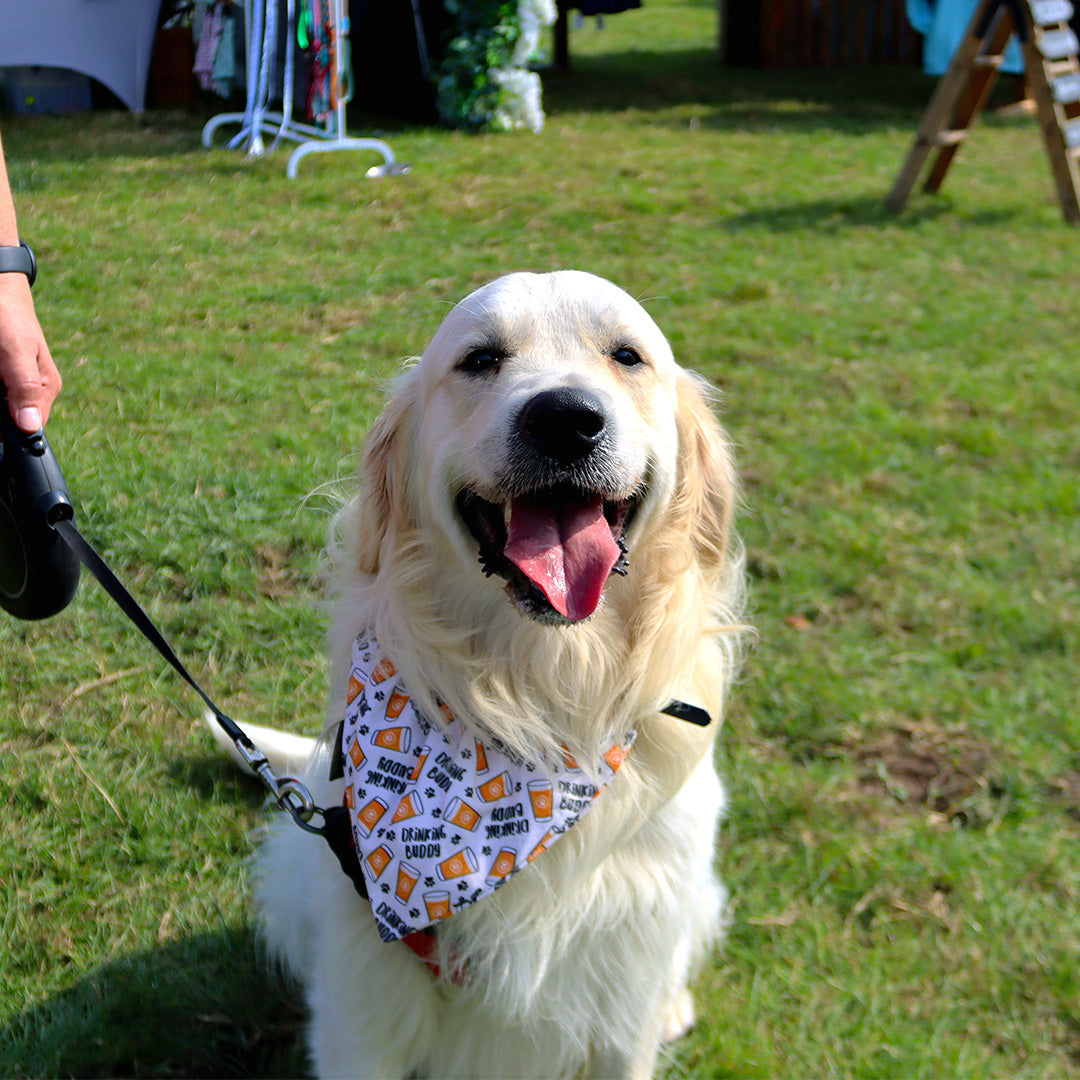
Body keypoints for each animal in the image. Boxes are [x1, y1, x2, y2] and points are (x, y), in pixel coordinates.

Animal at [241, 272, 747, 1080]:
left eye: (627, 356)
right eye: (480, 359)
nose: (565, 419)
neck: (541, 700)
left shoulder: (622, 1001)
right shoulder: (364, 1013)